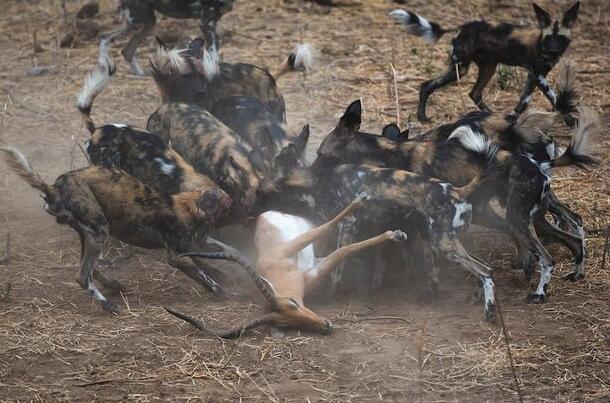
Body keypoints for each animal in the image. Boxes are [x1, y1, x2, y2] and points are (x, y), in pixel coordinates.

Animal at [0, 148, 233, 312]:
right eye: (228, 204)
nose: (238, 204)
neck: (189, 205)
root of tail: (53, 188)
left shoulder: (195, 243)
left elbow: (222, 254)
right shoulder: (178, 256)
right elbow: (207, 277)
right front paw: (226, 291)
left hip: (90, 233)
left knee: (91, 268)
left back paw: (114, 285)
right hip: (100, 230)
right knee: (82, 276)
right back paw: (108, 305)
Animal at [100, 0, 233, 76]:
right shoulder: (206, 23)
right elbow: (214, 54)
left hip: (146, 23)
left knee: (124, 49)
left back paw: (140, 73)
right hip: (137, 22)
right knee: (105, 37)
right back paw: (101, 66)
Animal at [164, 194, 406, 340]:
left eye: (293, 303)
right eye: (287, 324)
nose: (326, 325)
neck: (283, 272)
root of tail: (262, 216)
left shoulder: (295, 247)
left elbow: (335, 235)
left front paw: (394, 233)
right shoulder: (318, 268)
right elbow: (345, 250)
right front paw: (393, 234)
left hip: (301, 231)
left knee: (323, 225)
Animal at [312, 100, 596, 304]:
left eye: (320, 154)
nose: (311, 172)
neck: (387, 156)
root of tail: (537, 165)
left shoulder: (421, 222)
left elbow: (423, 260)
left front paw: (426, 290)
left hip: (517, 218)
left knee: (547, 256)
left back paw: (538, 292)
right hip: (517, 216)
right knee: (570, 234)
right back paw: (570, 272)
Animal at [390, 2, 580, 121]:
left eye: (560, 38)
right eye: (549, 38)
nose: (552, 51)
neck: (541, 41)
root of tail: (463, 26)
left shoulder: (533, 76)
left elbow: (523, 103)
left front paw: (512, 120)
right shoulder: (538, 75)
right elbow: (554, 98)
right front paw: (570, 119)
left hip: (487, 68)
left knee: (472, 93)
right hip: (461, 68)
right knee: (428, 85)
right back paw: (423, 118)